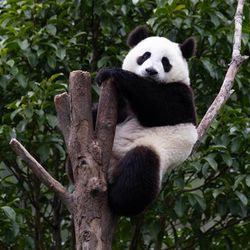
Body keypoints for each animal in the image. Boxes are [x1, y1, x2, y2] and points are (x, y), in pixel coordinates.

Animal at [95, 25, 197, 217]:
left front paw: (111, 72)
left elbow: (158, 106)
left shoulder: (182, 97)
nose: (151, 71)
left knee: (140, 169)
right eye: (145, 56)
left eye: (165, 62)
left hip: (154, 152)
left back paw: (117, 199)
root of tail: (111, 172)